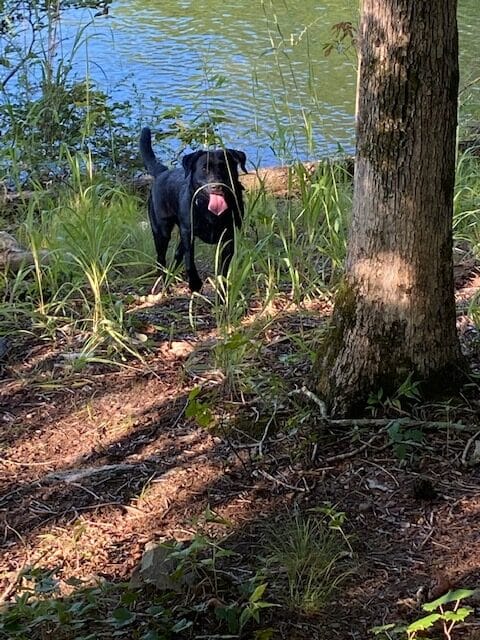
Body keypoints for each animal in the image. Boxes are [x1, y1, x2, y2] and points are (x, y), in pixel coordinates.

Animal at [140, 127, 247, 293]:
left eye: (225, 167)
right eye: (204, 168)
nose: (217, 186)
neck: (209, 211)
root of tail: (163, 172)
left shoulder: (229, 235)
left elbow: (224, 267)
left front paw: (222, 289)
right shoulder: (187, 232)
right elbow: (189, 259)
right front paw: (195, 283)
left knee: (177, 254)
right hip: (161, 230)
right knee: (161, 258)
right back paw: (163, 283)